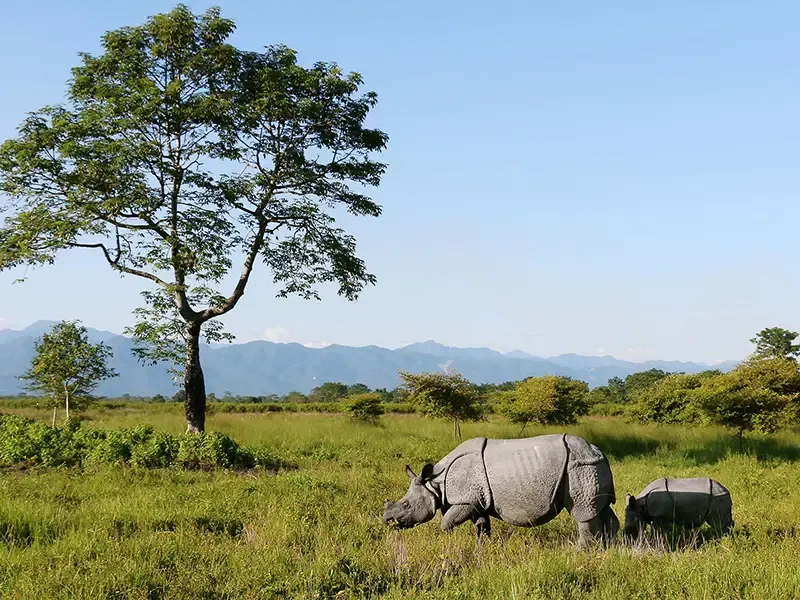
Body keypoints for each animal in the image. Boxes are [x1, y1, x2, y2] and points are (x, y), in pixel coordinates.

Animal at [382, 433, 619, 548]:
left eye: (406, 505)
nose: (387, 520)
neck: (434, 483)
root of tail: (598, 451)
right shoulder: (476, 501)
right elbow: (482, 526)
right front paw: (482, 549)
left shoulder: (465, 501)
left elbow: (446, 522)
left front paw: (447, 541)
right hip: (590, 466)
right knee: (599, 507)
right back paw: (609, 547)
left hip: (579, 467)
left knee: (582, 512)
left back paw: (581, 551)